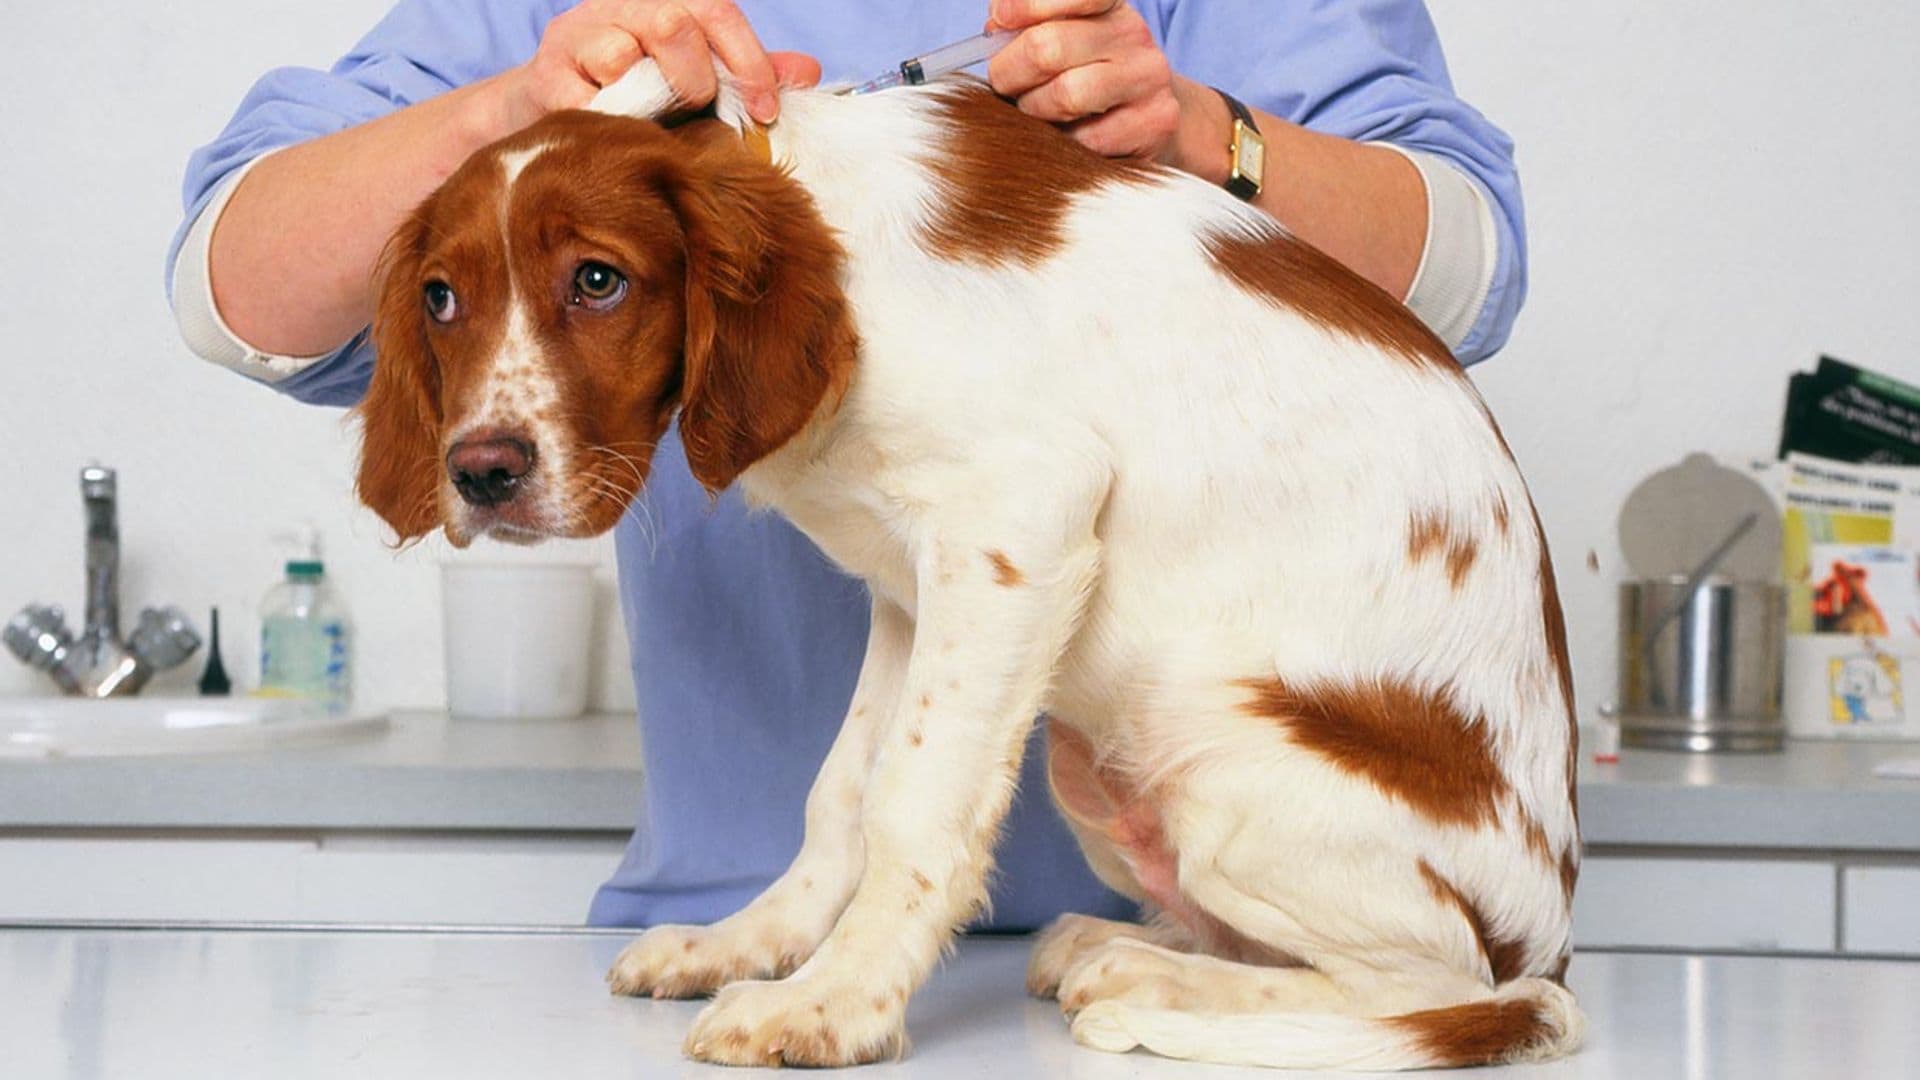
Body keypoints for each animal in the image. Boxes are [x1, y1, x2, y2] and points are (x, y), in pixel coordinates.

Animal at [353, 62, 1582, 1060]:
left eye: (599, 281)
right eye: (441, 298)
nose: (481, 473)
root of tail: (1552, 942)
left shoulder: (1017, 524)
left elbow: (914, 801)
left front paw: (834, 1004)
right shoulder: (912, 585)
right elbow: (842, 792)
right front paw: (752, 941)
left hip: (1220, 753)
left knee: (1439, 991)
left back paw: (1144, 980)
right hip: (1104, 777)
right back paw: (1118, 945)